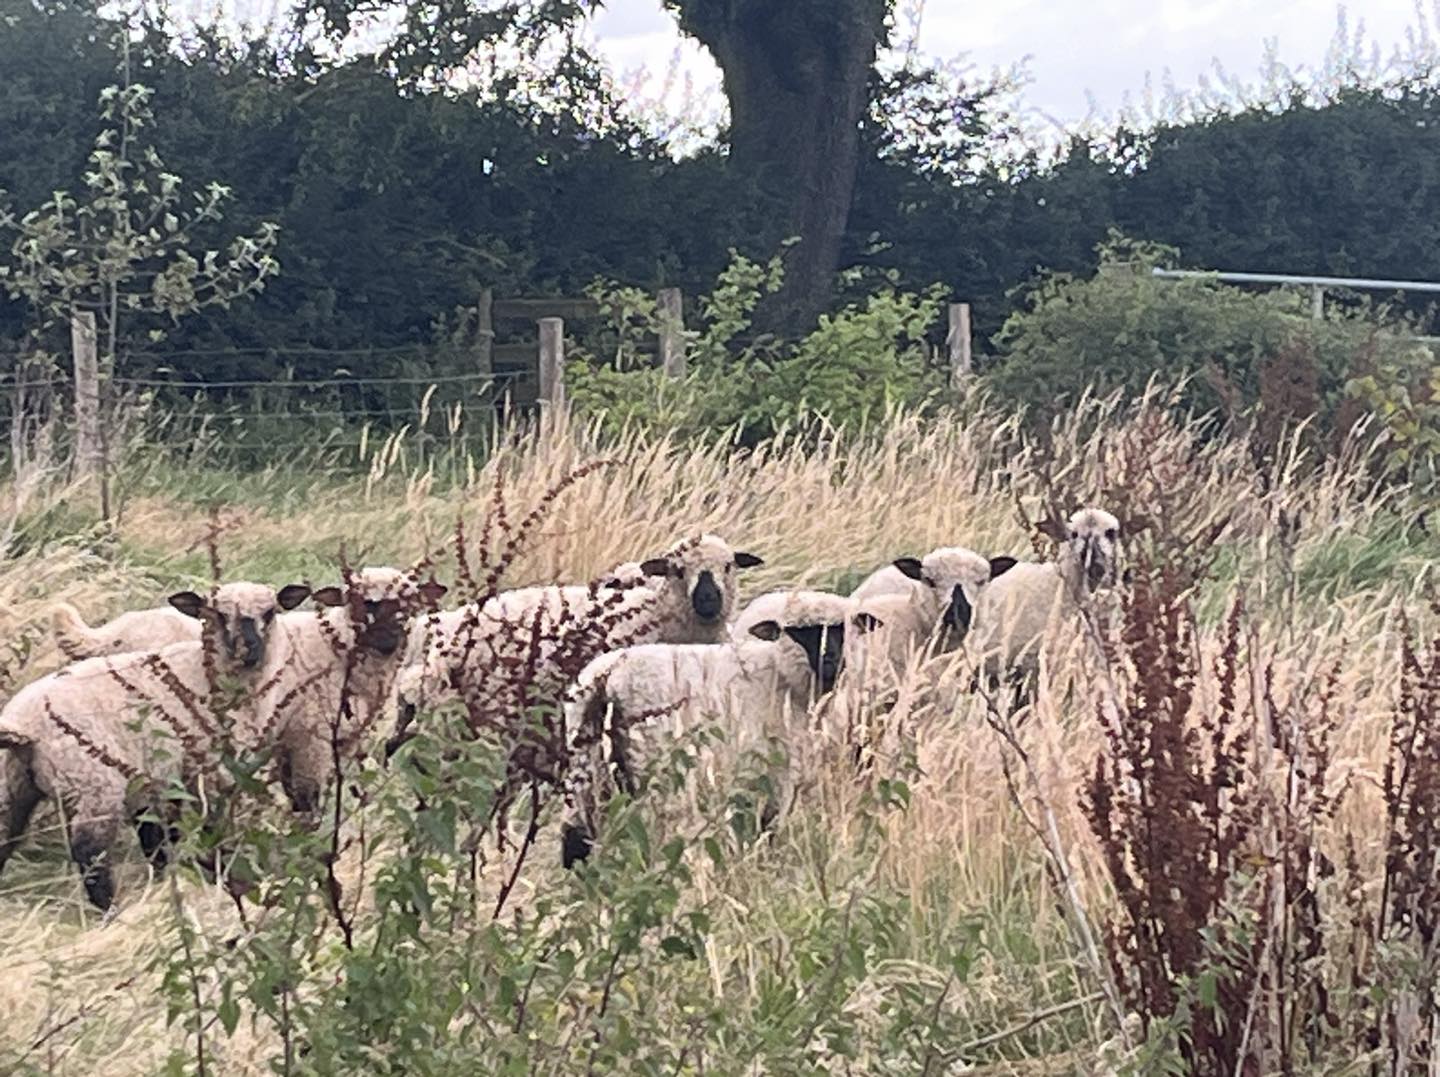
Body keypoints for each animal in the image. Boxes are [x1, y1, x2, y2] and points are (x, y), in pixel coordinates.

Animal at [559, 591, 881, 868]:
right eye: (801, 634)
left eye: (841, 629)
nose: (831, 660)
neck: (781, 677)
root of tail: (608, 675)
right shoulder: (772, 773)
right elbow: (765, 828)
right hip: (656, 772)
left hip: (587, 768)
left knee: (577, 838)